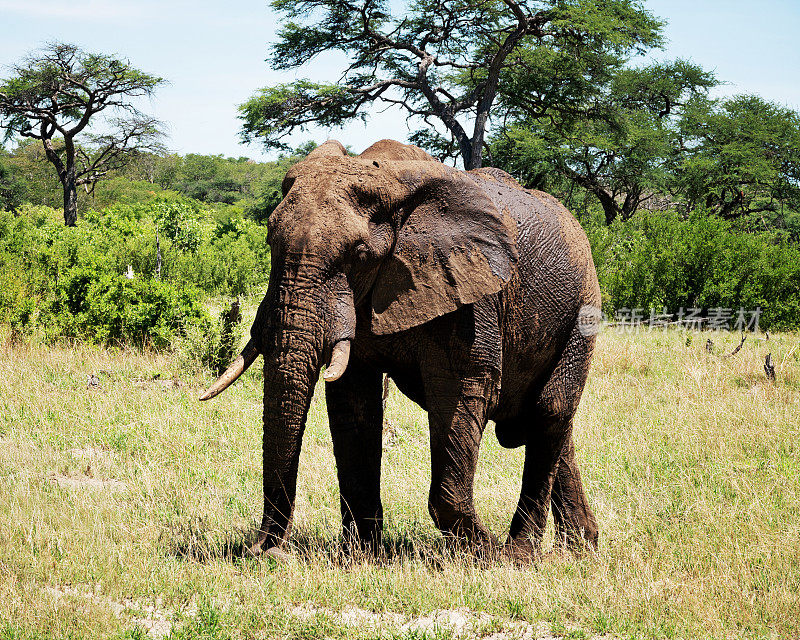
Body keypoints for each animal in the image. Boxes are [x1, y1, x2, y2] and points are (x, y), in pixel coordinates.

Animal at [200, 139, 600, 560]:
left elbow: (461, 392)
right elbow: (353, 403)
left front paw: (484, 553)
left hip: (583, 310)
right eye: (269, 242)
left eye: (359, 255)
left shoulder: (470, 296)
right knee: (554, 426)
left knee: (551, 409)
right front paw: (361, 556)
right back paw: (580, 549)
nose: (264, 549)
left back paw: (520, 556)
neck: (389, 179)